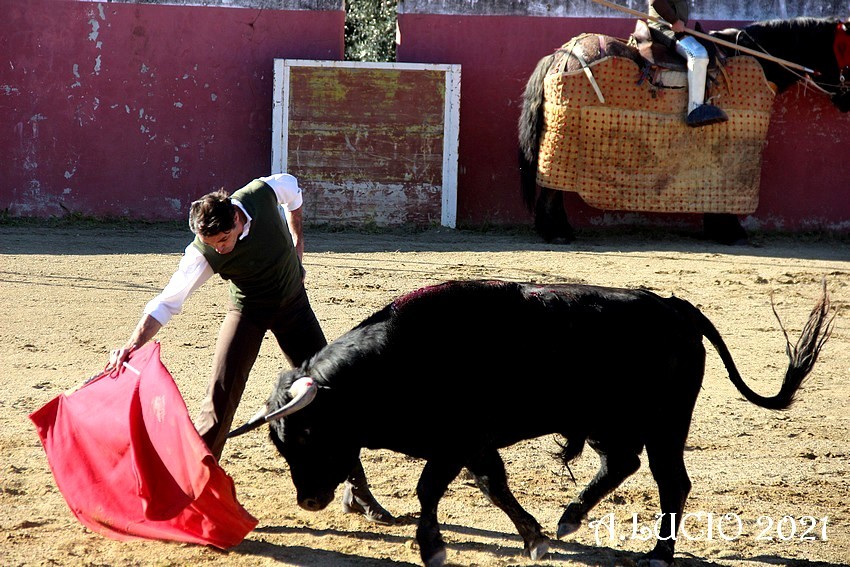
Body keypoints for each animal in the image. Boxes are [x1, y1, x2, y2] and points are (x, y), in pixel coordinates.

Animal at [229, 279, 832, 567]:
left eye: (308, 434)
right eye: (282, 446)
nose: (309, 501)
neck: (400, 361)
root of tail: (673, 307)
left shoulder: (456, 441)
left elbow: (430, 490)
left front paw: (433, 548)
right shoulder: (474, 444)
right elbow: (493, 485)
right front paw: (536, 537)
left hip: (666, 424)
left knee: (671, 482)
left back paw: (659, 554)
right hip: (608, 422)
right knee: (621, 463)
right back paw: (570, 518)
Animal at [518, 17, 850, 244]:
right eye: (847, 54)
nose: (848, 101)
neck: (759, 56)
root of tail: (562, 53)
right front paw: (730, 231)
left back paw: (556, 229)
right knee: (552, 187)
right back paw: (557, 232)